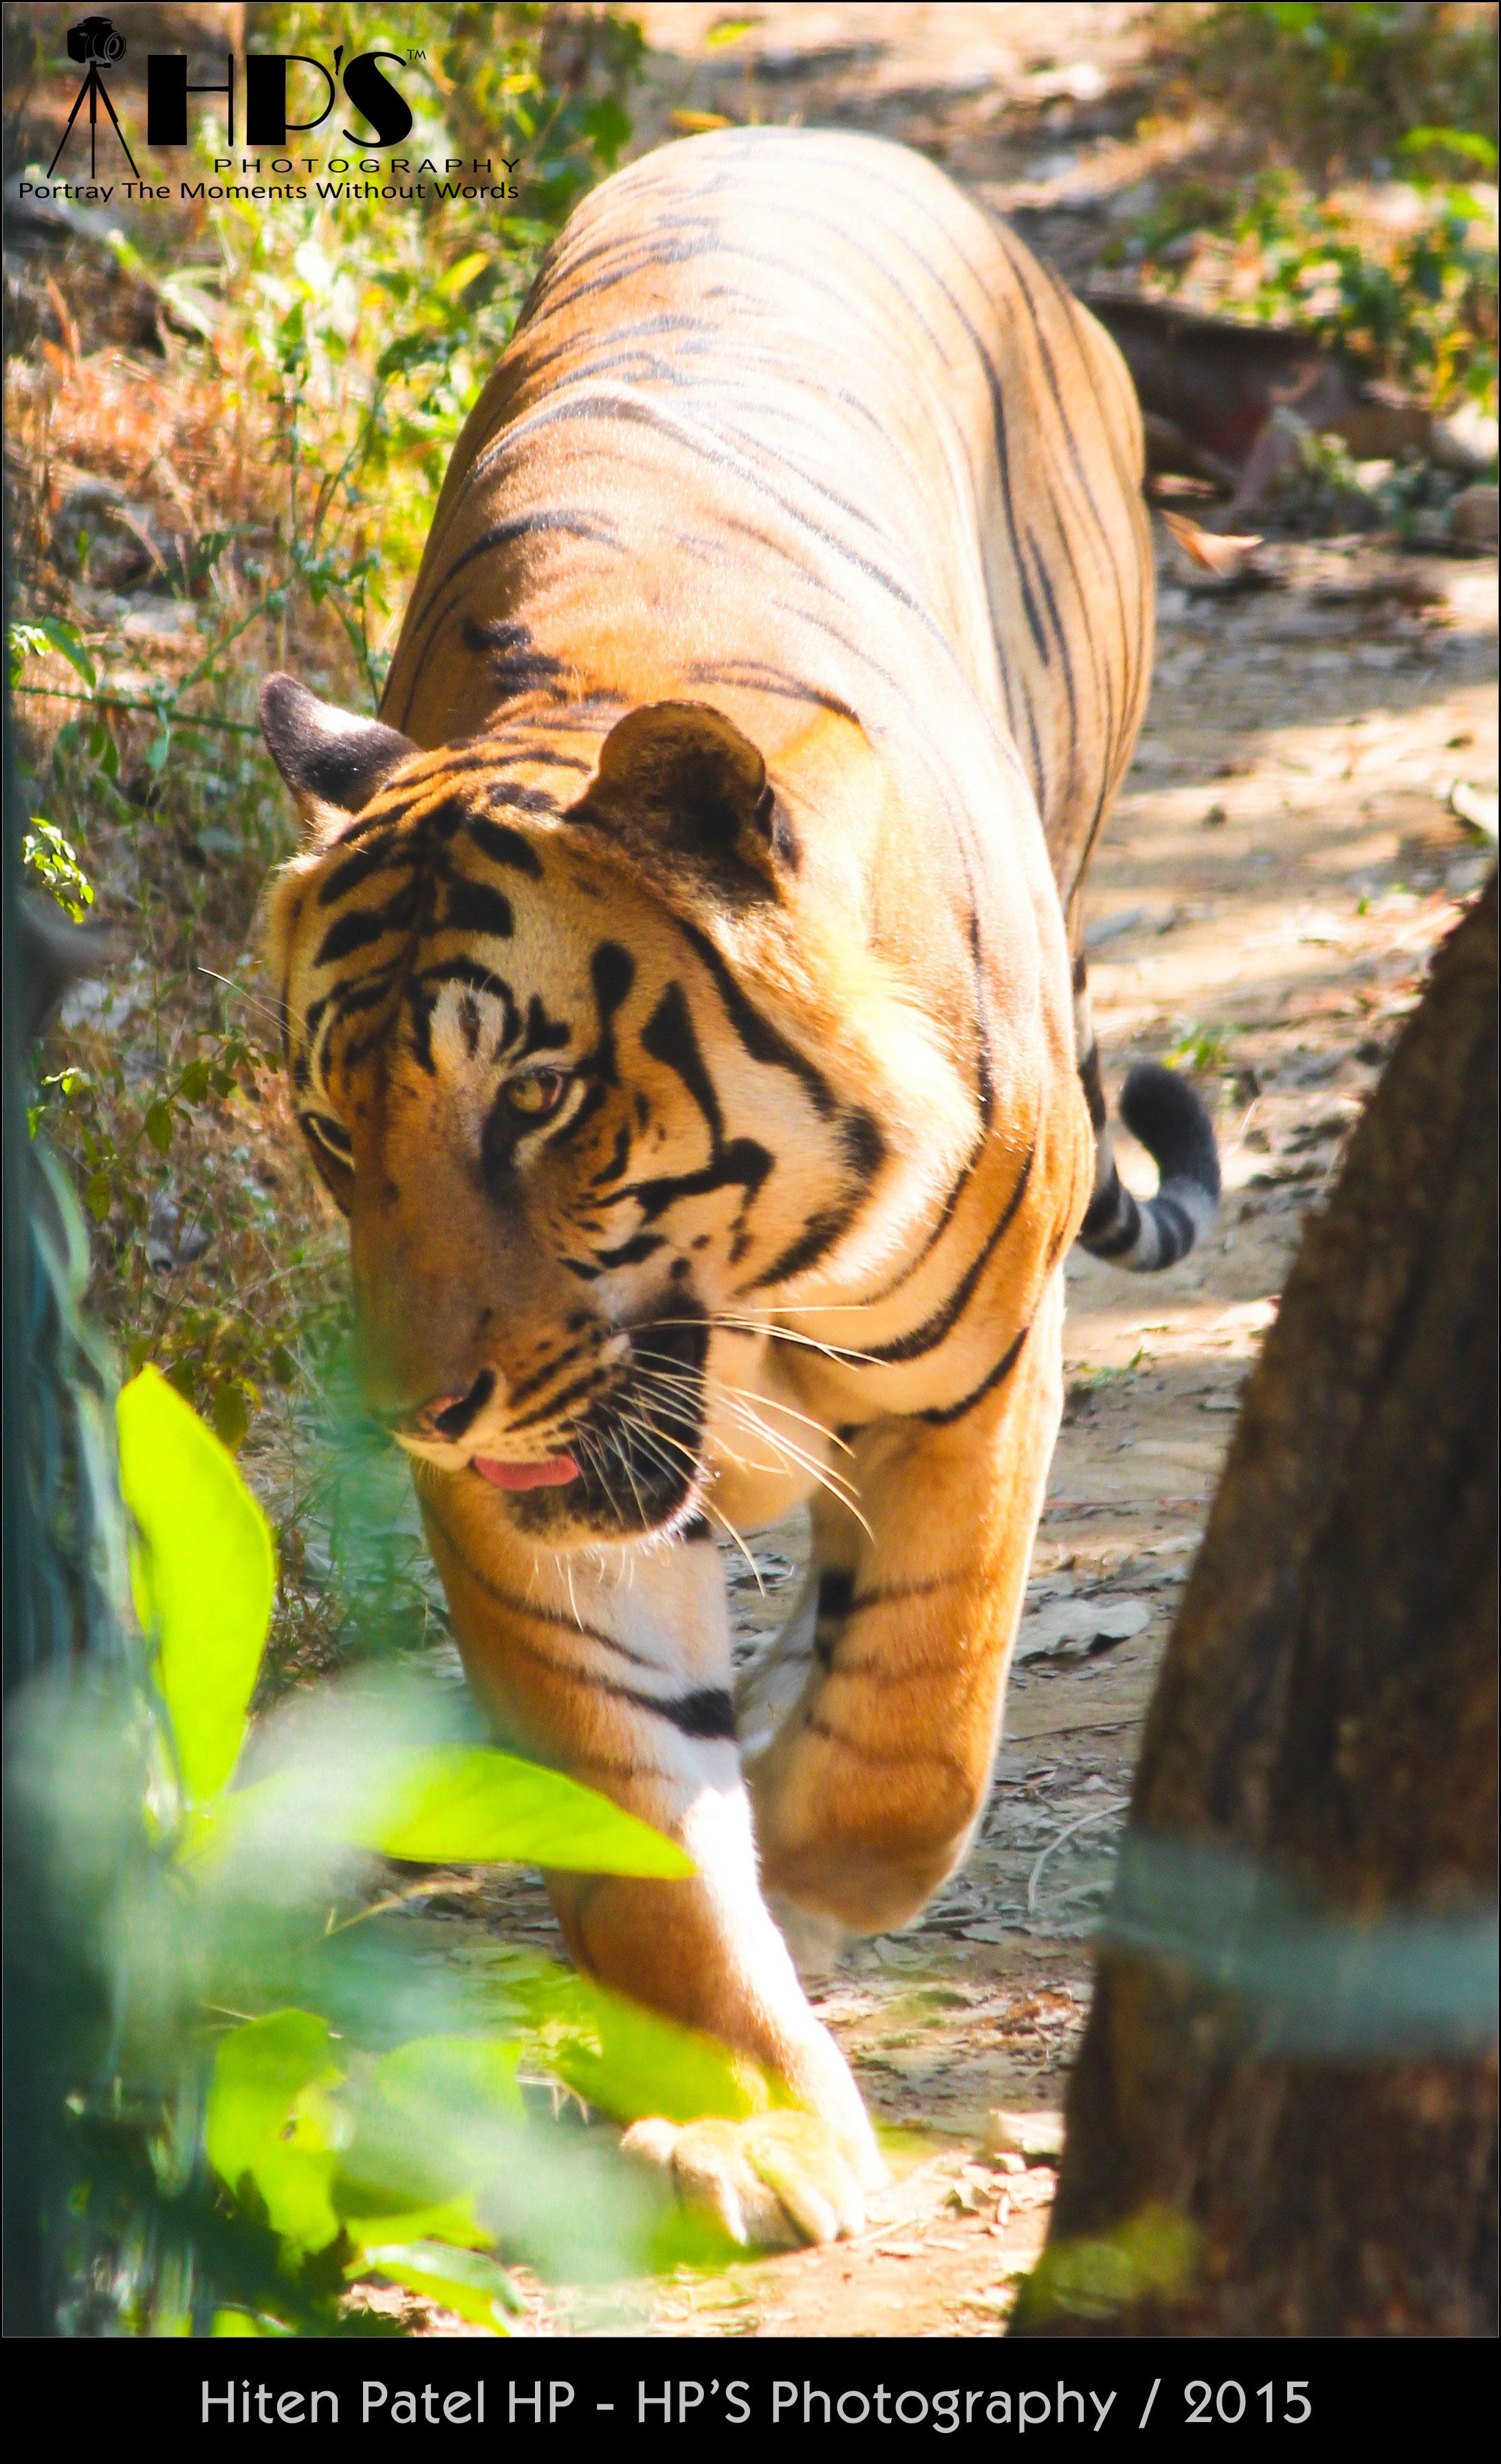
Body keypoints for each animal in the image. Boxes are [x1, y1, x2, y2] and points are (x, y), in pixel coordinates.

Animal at [258, 125, 1219, 2249]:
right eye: (331, 1133)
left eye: (536, 1101)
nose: (413, 1416)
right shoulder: (531, 1498)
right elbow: (633, 1827)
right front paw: (744, 2124)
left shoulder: (977, 1373)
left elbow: (920, 1716)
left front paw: (806, 1855)